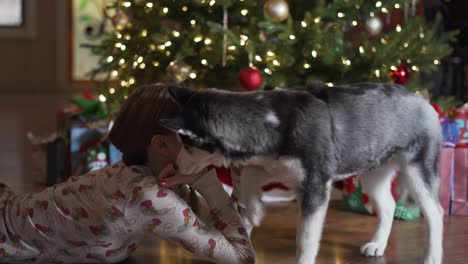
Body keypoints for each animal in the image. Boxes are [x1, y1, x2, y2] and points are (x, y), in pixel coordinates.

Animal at [160, 83, 442, 264]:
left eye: (187, 144)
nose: (174, 167)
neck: (272, 122)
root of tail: (420, 97)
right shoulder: (276, 166)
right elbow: (251, 176)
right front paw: (254, 210)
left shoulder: (315, 186)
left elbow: (306, 238)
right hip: (373, 171)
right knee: (388, 205)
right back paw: (378, 245)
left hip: (418, 170)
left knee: (435, 212)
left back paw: (431, 256)